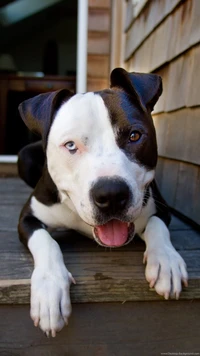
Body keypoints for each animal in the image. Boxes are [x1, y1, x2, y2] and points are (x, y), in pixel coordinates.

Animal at [17, 67, 188, 336]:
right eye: (70, 145)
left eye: (134, 136)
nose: (111, 195)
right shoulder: (28, 217)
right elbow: (45, 241)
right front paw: (49, 289)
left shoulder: (161, 207)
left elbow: (156, 225)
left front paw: (166, 260)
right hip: (24, 157)